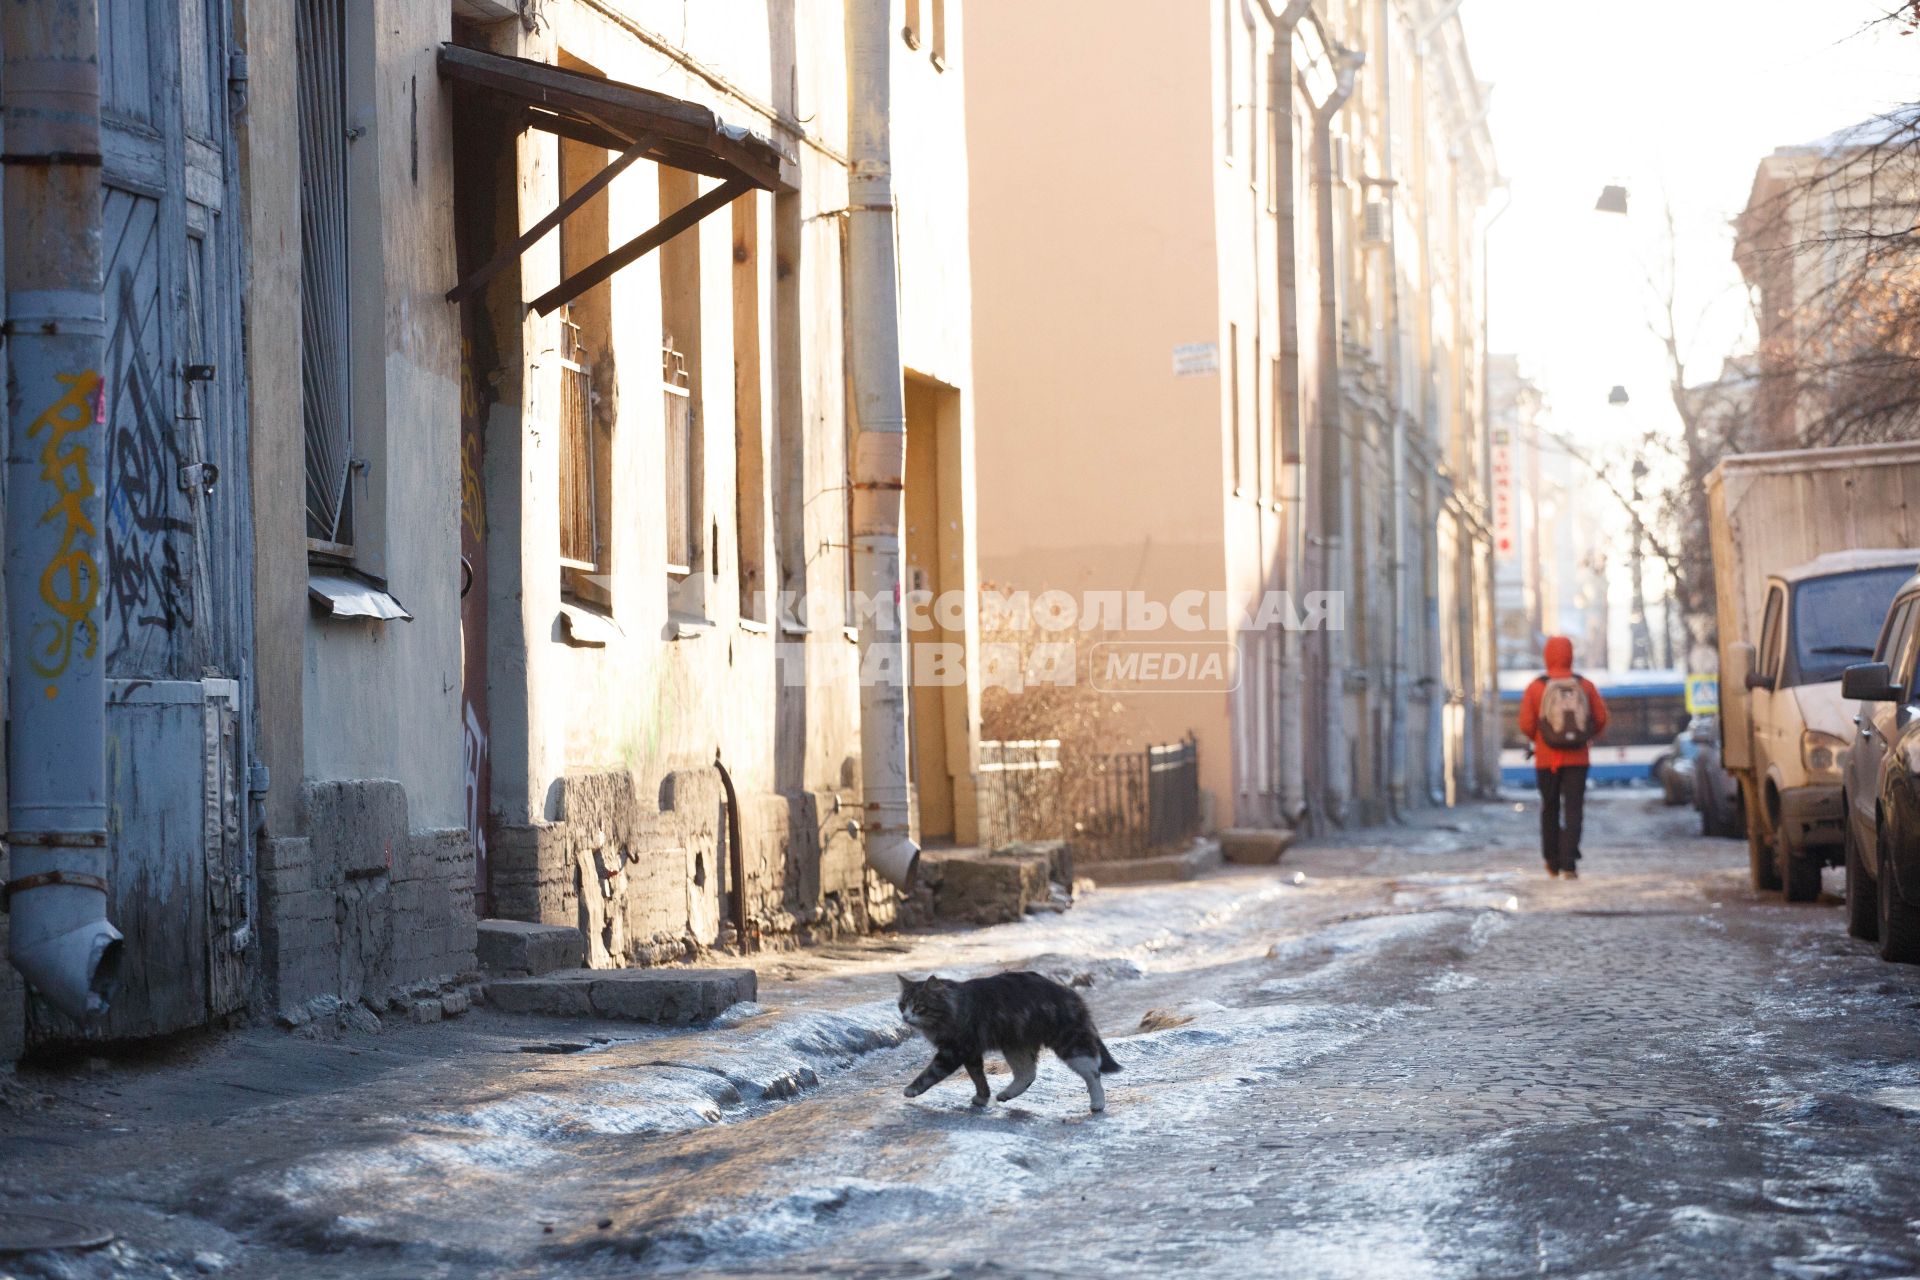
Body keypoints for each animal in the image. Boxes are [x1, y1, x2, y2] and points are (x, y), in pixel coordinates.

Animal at [898, 971, 1121, 1113]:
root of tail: (1069, 992)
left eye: (919, 1007)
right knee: (1027, 1074)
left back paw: (1098, 1104)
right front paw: (982, 1098)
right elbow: (978, 1078)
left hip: (1070, 1044)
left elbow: (930, 1073)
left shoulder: (954, 1051)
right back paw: (1006, 1094)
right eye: (902, 1005)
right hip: (1016, 1045)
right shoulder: (971, 1052)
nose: (905, 1017)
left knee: (1093, 1073)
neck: (952, 1007)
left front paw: (912, 1089)